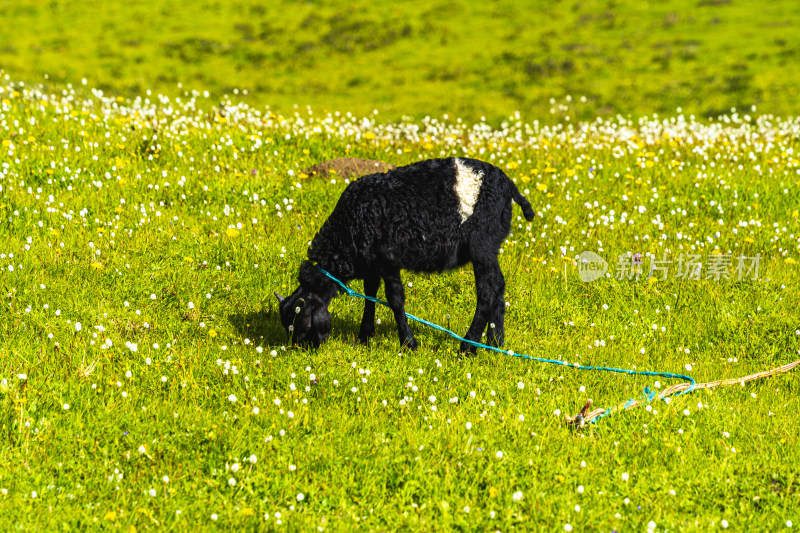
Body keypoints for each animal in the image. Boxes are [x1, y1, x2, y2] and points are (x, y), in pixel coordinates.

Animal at [276, 156, 536, 352]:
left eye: (300, 324)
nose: (305, 350)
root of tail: (508, 185)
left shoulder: (388, 259)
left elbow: (395, 299)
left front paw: (408, 343)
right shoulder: (372, 263)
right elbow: (370, 294)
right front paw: (365, 336)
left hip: (482, 242)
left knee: (488, 290)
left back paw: (467, 346)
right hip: (492, 244)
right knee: (498, 285)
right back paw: (496, 342)